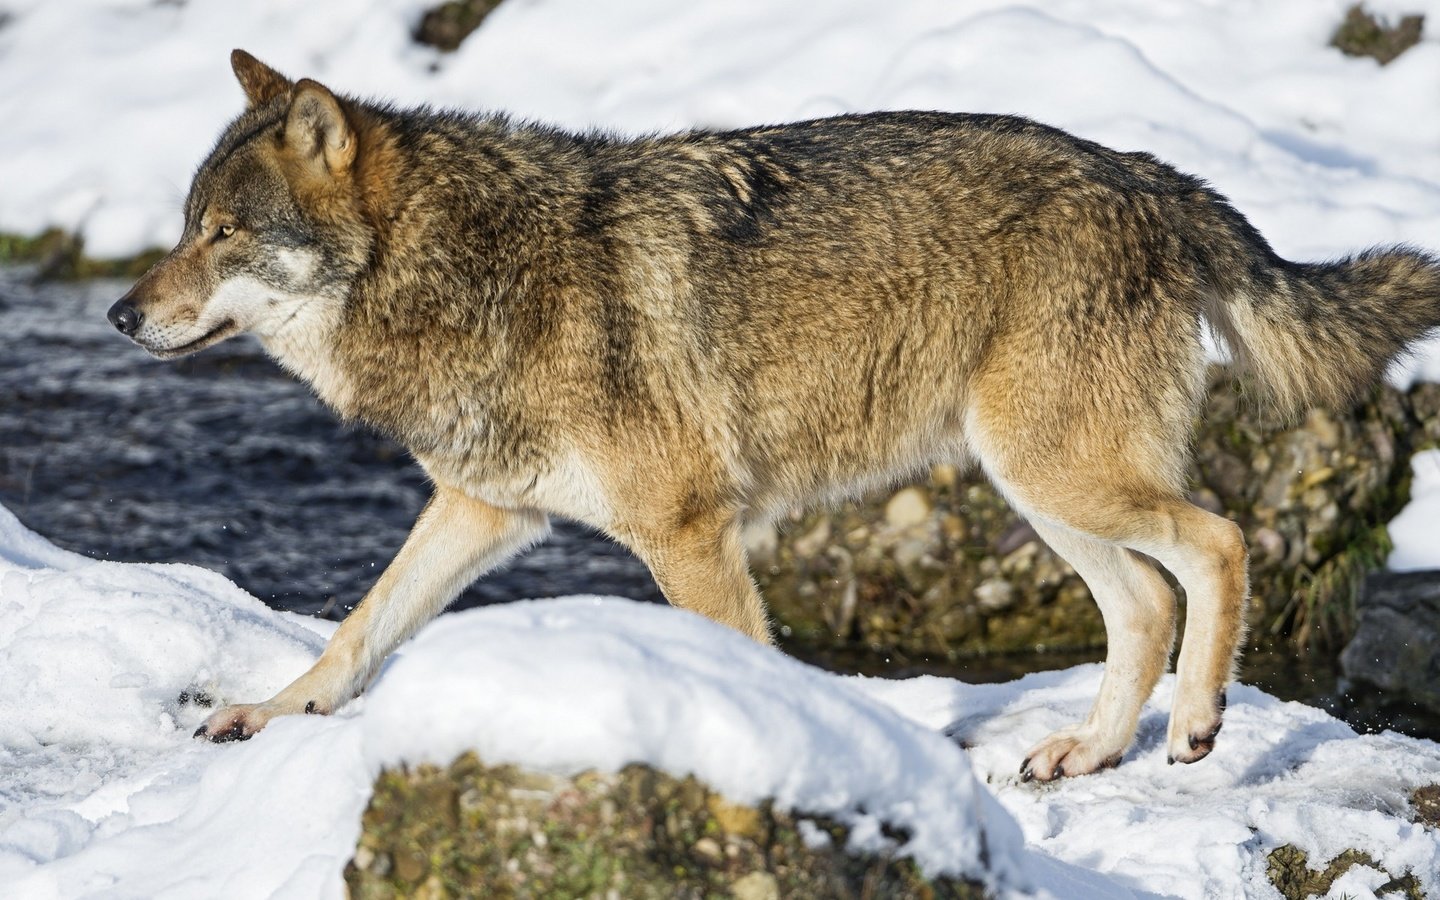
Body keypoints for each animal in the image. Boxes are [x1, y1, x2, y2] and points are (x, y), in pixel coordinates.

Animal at [109, 48, 1440, 777]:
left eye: (222, 235)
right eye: (180, 227)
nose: (121, 312)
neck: (469, 270)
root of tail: (1152, 175)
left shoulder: (689, 532)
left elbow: (745, 665)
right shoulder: (484, 513)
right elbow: (355, 634)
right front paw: (266, 714)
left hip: (1057, 475)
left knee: (1219, 544)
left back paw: (1198, 727)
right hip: (1035, 486)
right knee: (1147, 603)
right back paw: (1087, 753)